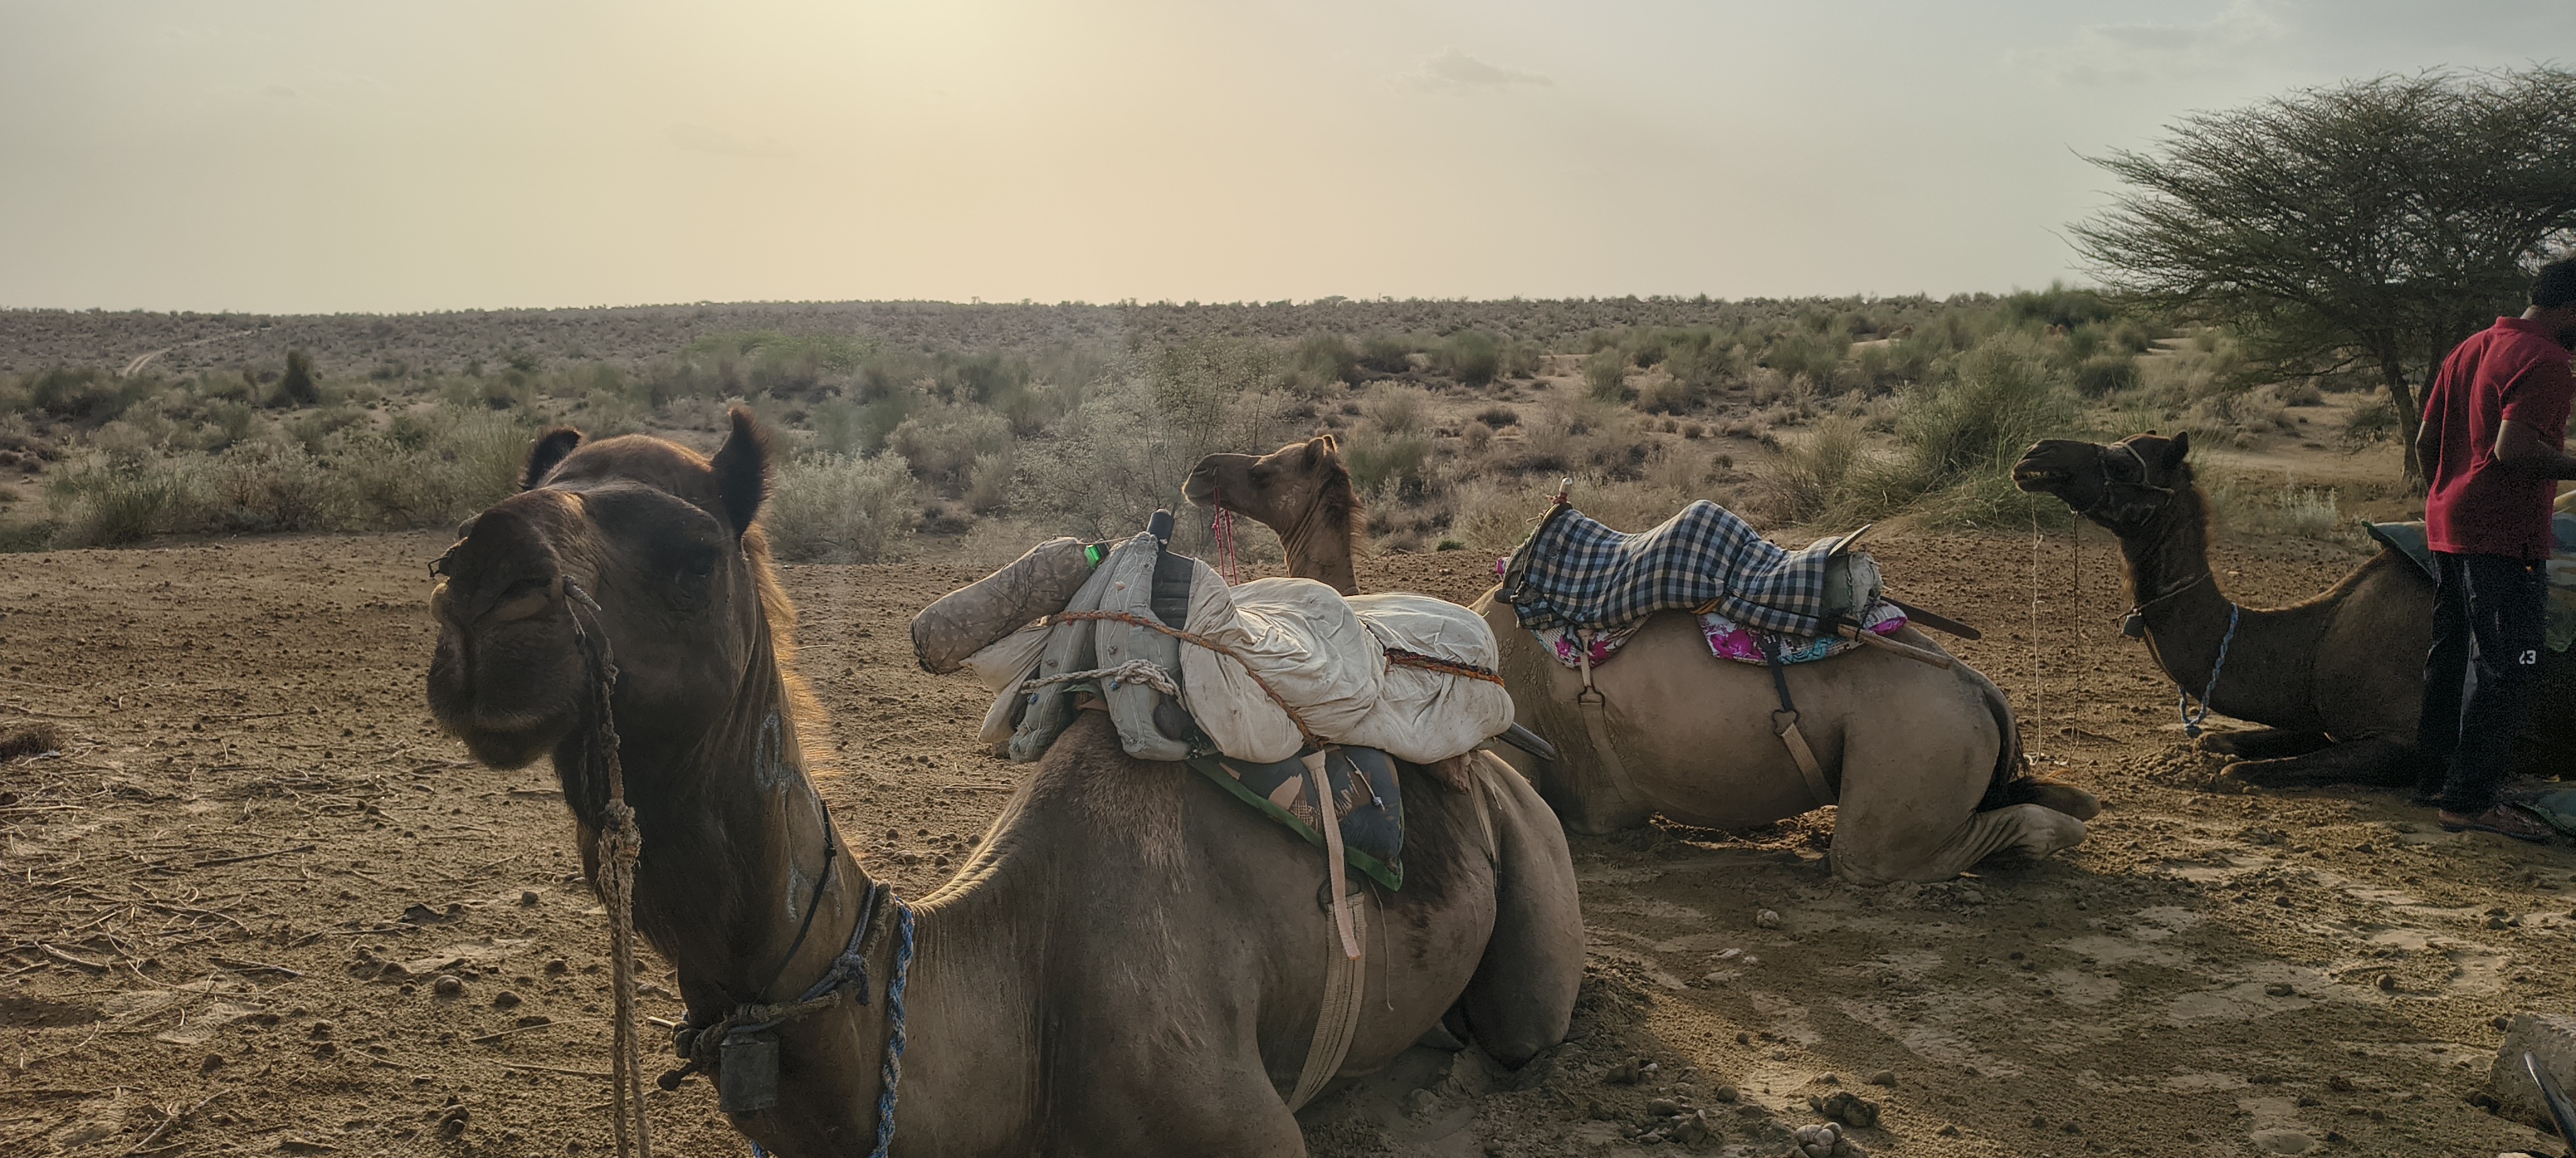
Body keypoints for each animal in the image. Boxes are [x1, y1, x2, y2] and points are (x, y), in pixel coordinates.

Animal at [425, 411, 1584, 1157]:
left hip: (1532, 896)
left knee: (1520, 1025)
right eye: (498, 508)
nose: (483, 590)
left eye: (693, 554)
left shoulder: (1243, 1124)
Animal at [2013, 431, 2576, 786]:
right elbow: (2221, 741)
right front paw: (2220, 744)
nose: (2035, 456)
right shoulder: (2317, 715)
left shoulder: (2405, 740)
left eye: (2123, 463)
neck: (2318, 638)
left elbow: (2241, 772)